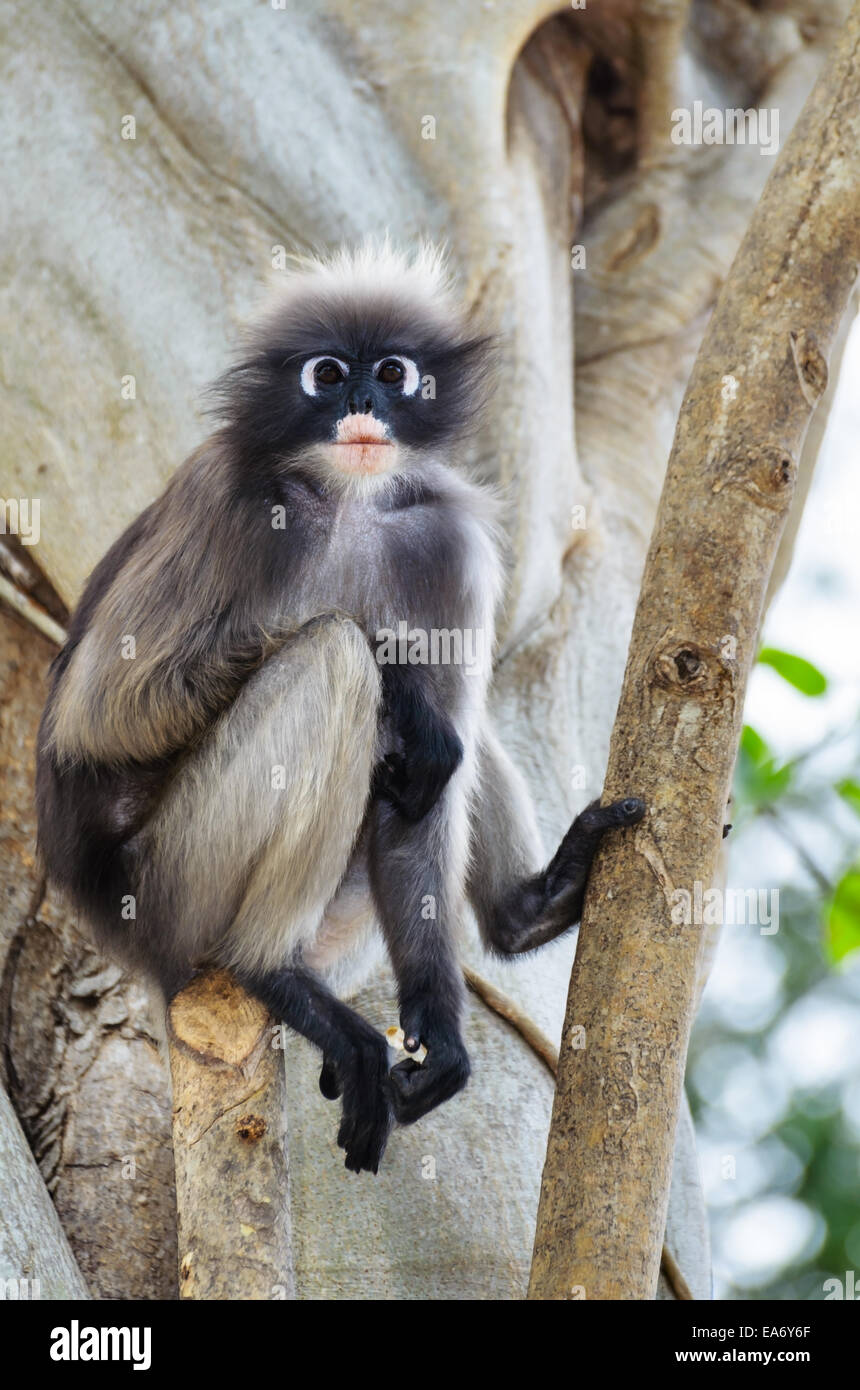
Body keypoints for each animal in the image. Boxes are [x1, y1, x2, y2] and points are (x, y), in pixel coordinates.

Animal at [38, 244, 644, 1167]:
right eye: (327, 374)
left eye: (392, 372)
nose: (361, 403)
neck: (352, 499)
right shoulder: (226, 490)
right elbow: (103, 714)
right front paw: (394, 672)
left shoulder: (449, 536)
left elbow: (428, 788)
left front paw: (440, 1031)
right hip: (178, 881)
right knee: (336, 660)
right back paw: (272, 973)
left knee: (450, 736)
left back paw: (527, 911)